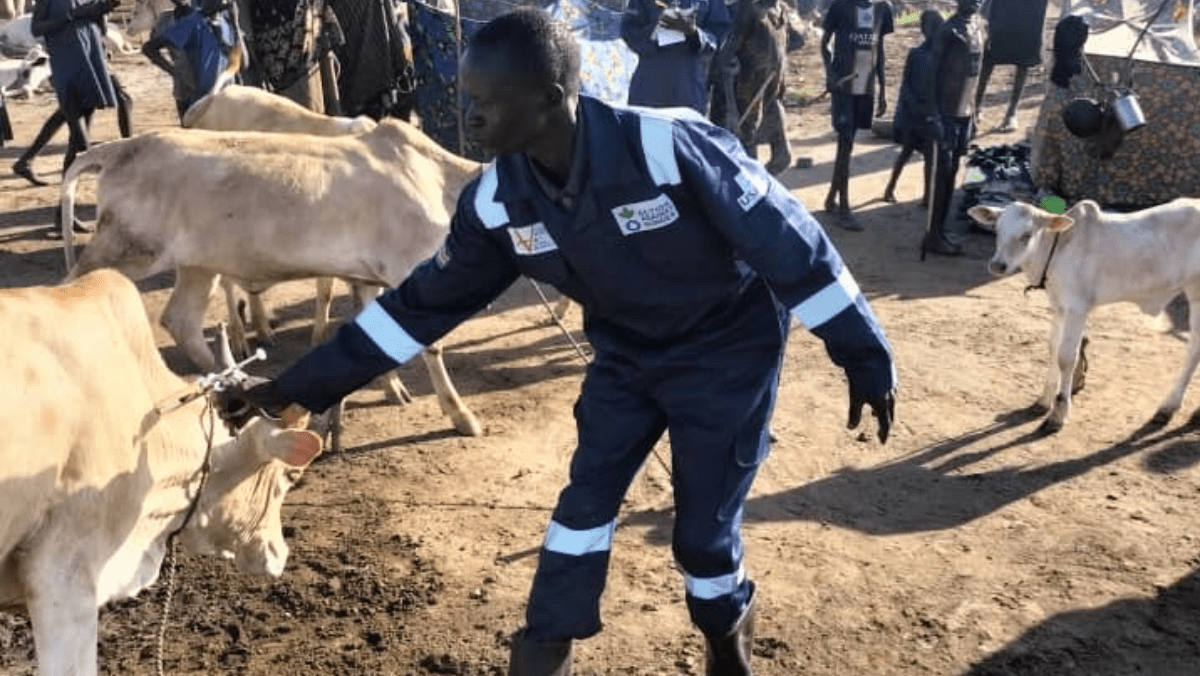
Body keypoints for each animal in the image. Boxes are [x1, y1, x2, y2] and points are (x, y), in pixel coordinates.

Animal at [59, 120, 482, 439]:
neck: (440, 180)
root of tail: (121, 148)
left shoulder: (369, 278)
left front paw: (394, 388)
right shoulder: (407, 266)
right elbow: (429, 345)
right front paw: (461, 415)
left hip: (198, 265)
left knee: (181, 320)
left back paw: (229, 383)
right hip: (123, 250)